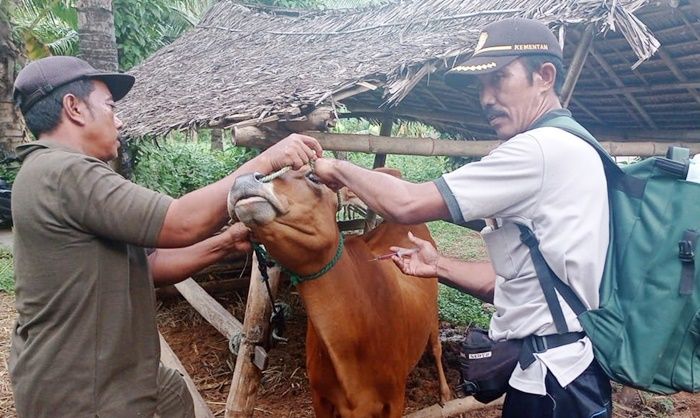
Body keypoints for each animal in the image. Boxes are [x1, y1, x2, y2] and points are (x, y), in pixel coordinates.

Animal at [227, 167, 452, 418]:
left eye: (313, 177)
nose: (243, 179)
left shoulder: (395, 398)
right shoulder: (320, 396)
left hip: (432, 308)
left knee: (436, 347)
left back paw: (444, 393)